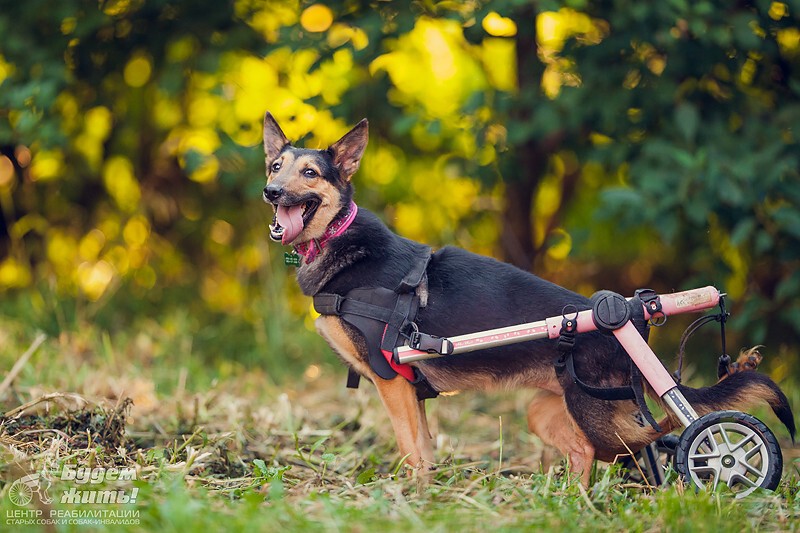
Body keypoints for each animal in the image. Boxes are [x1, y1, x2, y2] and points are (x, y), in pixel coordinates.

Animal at [260, 113, 792, 486]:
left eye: (310, 173)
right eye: (276, 166)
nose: (270, 191)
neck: (338, 237)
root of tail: (630, 322)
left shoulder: (393, 383)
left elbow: (412, 450)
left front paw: (410, 497)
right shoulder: (411, 392)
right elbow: (425, 449)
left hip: (600, 414)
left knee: (663, 434)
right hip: (547, 411)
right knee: (593, 454)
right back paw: (570, 501)